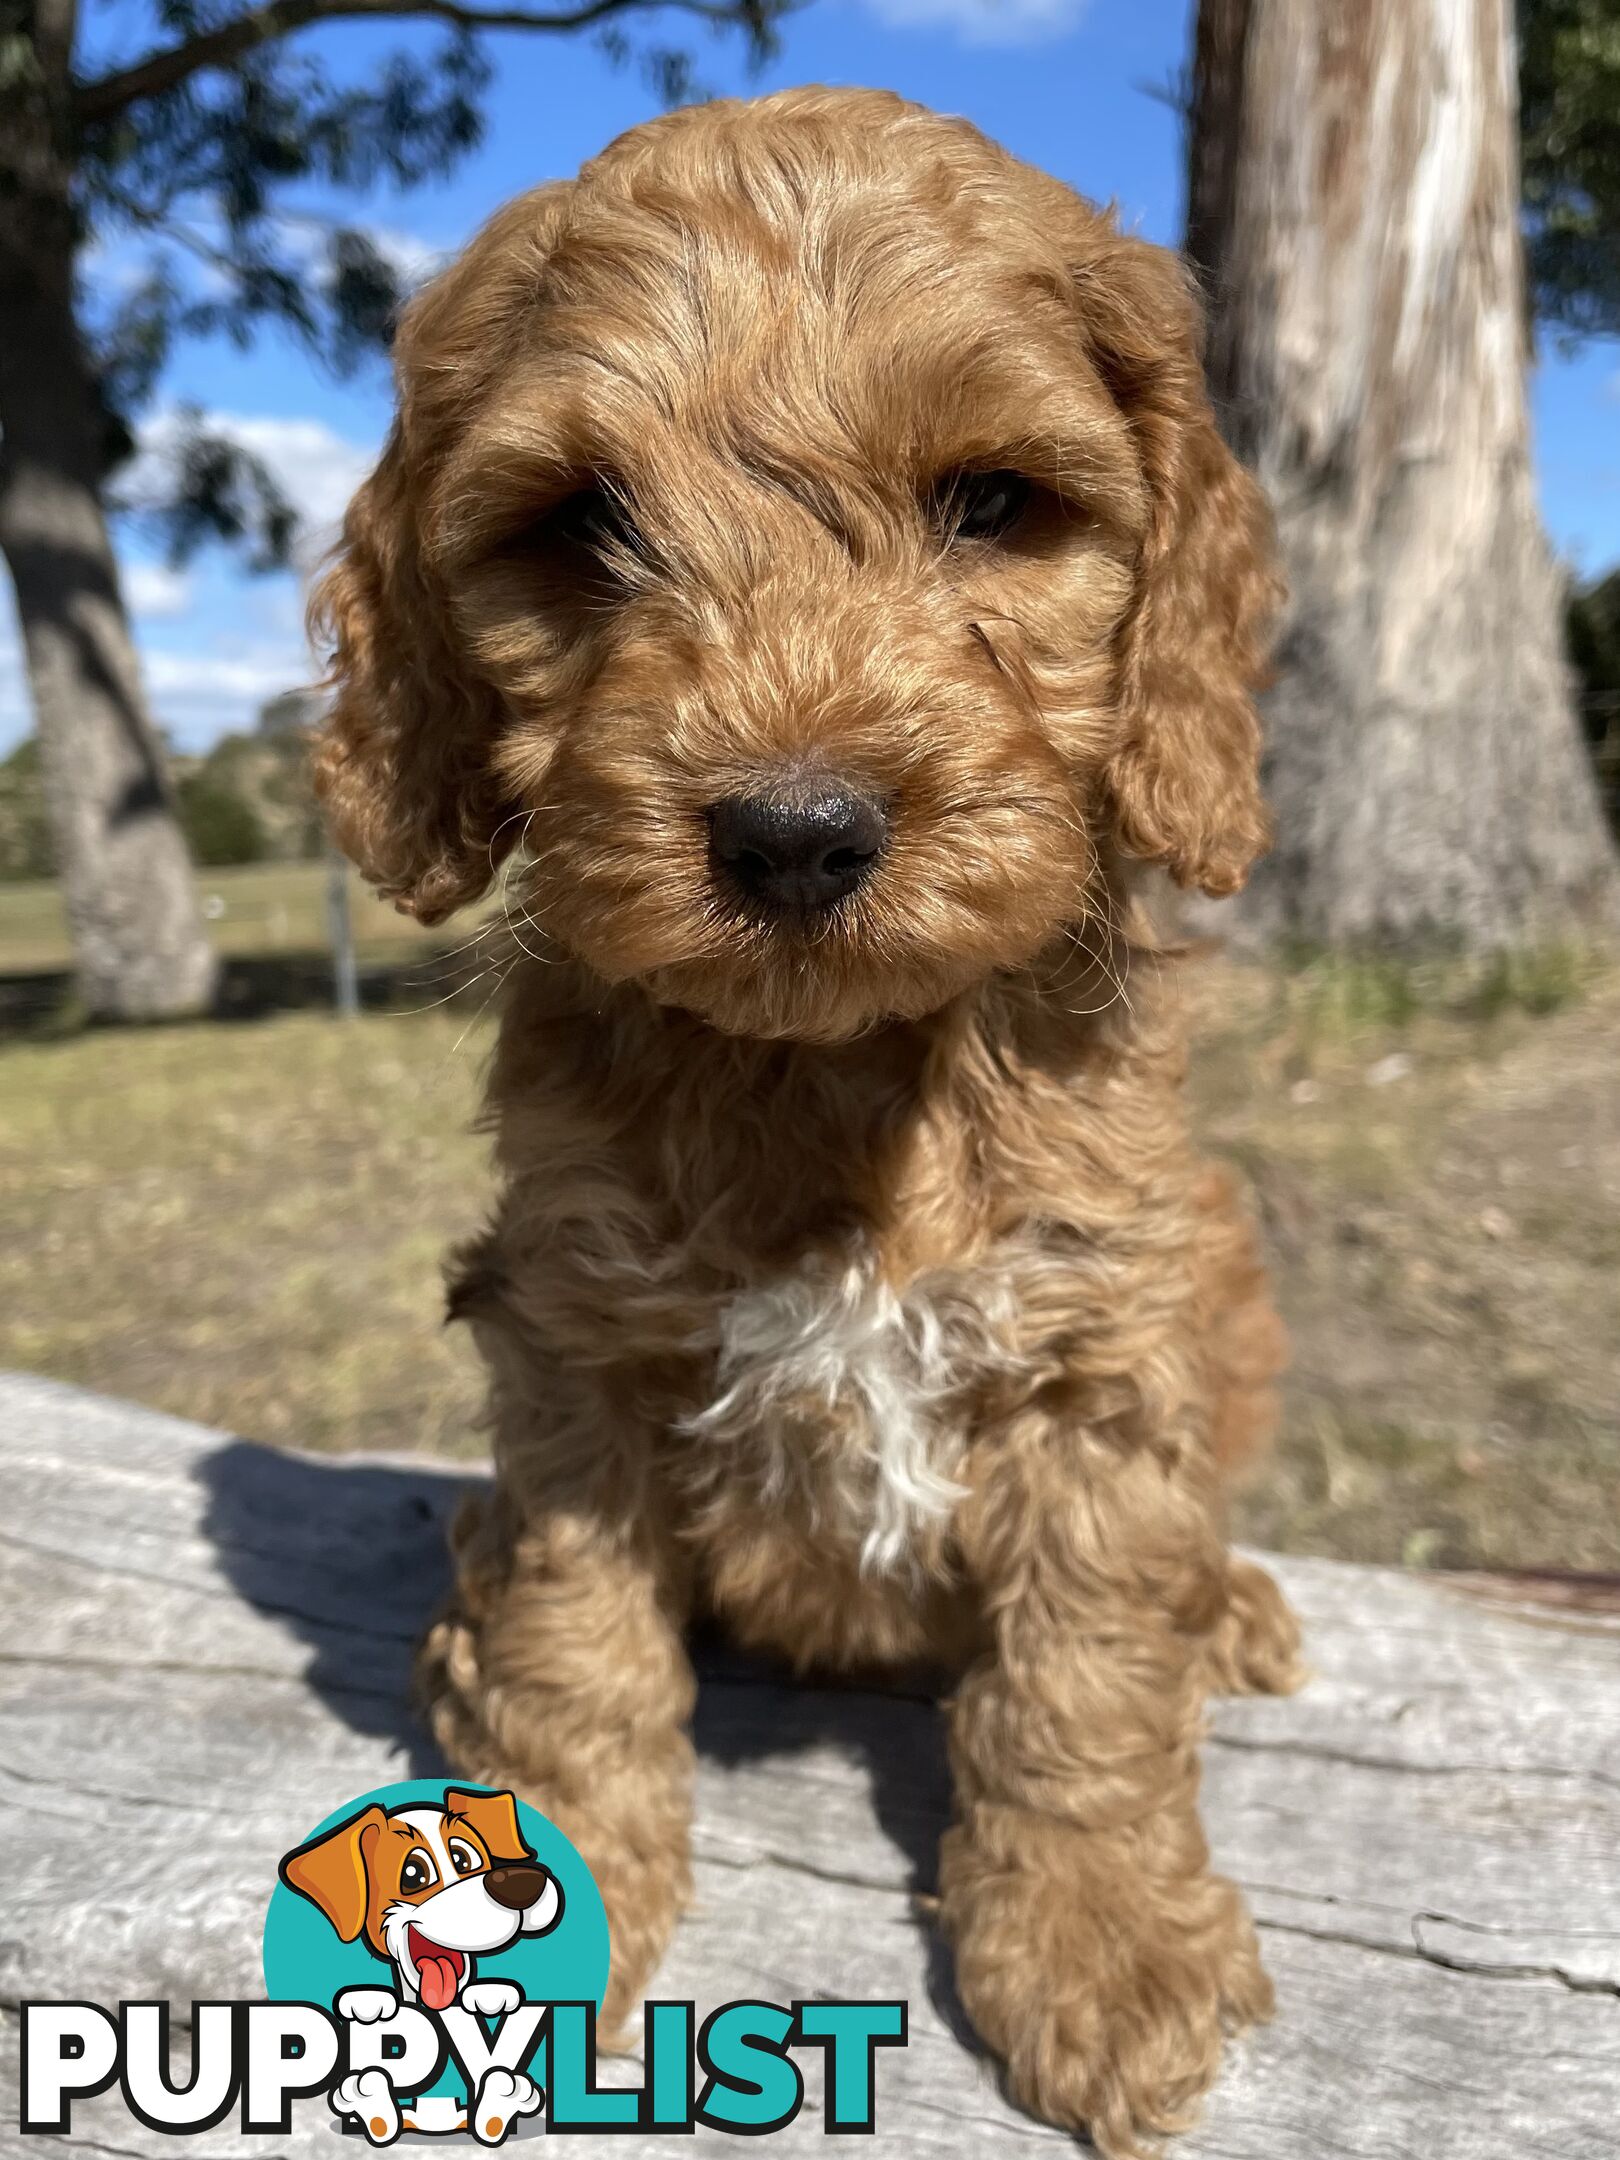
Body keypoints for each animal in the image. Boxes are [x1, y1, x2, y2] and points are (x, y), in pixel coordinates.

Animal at [313, 88, 1304, 2160]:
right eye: (583, 527)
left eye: (992, 504)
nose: (791, 832)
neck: (842, 1077)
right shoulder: (571, 1339)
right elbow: (575, 1639)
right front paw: (554, 1878)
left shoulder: (1102, 1338)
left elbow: (1087, 1677)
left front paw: (1106, 1945)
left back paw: (1235, 1607)